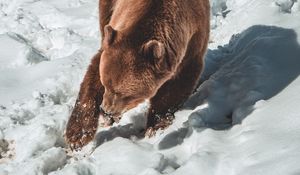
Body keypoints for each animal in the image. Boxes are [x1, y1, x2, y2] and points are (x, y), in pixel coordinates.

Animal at [65, 0, 211, 150]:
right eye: (106, 84)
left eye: (124, 94)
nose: (106, 110)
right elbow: (92, 78)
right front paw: (77, 137)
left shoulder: (191, 44)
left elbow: (174, 89)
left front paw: (155, 127)